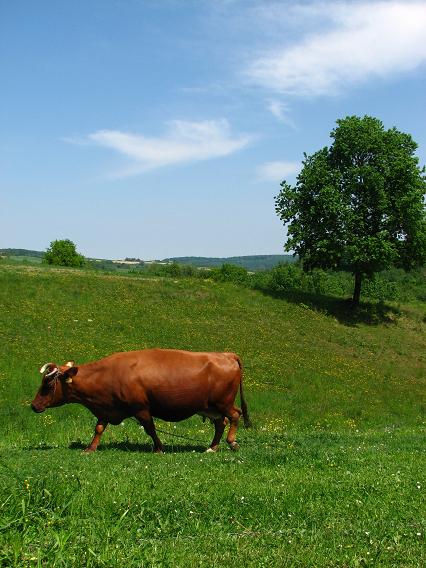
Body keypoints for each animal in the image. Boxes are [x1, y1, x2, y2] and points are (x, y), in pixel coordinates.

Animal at [31, 346, 251, 452]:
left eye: (48, 385)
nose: (33, 405)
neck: (108, 374)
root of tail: (226, 355)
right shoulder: (106, 408)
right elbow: (99, 428)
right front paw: (90, 448)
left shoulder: (141, 408)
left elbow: (150, 429)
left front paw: (159, 448)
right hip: (210, 407)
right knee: (221, 423)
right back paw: (212, 447)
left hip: (223, 403)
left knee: (234, 415)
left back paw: (232, 442)